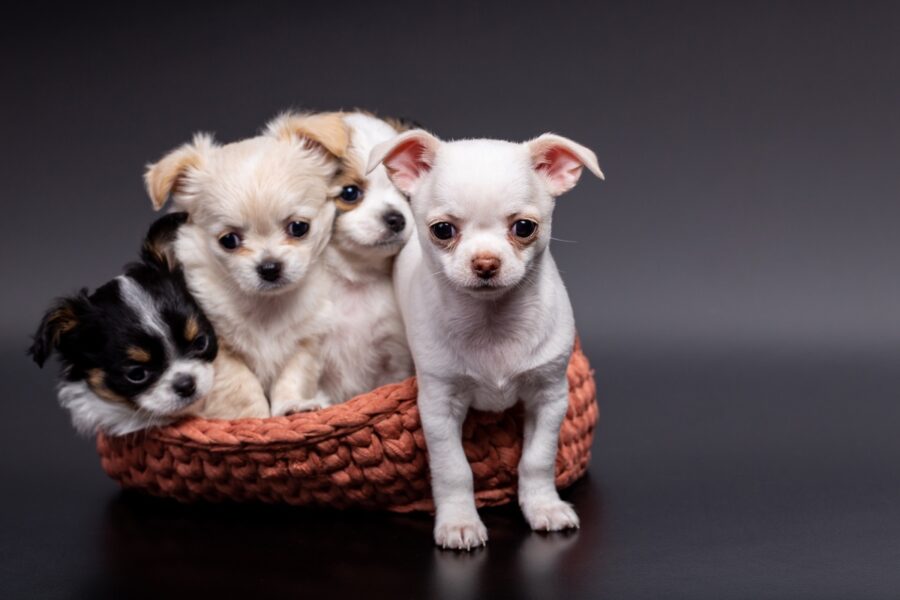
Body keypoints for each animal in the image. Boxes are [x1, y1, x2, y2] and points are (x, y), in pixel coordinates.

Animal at [143, 112, 348, 418]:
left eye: (299, 227)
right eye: (229, 240)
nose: (269, 267)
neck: (266, 307)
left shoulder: (307, 340)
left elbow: (293, 376)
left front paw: (291, 406)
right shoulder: (218, 350)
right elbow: (241, 388)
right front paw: (254, 419)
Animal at [366, 130, 604, 548]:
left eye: (524, 227)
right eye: (443, 230)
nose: (486, 263)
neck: (491, 323)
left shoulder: (550, 397)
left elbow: (538, 459)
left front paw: (543, 506)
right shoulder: (438, 407)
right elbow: (453, 469)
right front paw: (459, 522)